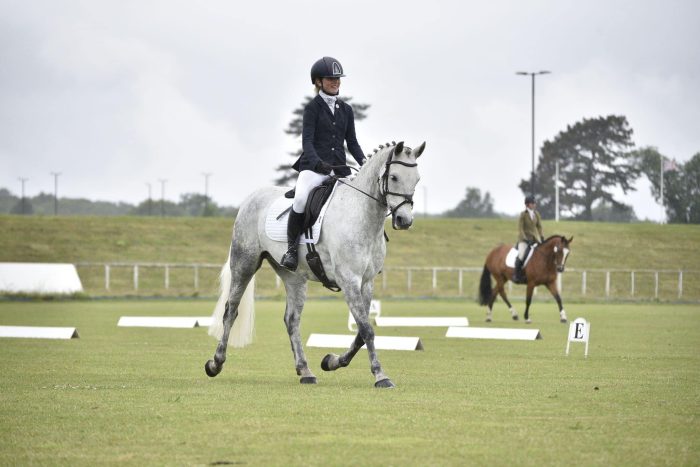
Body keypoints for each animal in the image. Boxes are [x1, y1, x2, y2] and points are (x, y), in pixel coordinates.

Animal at [205, 141, 424, 390]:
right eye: (394, 177)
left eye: (417, 179)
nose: (404, 220)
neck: (361, 216)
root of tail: (251, 198)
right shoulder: (349, 280)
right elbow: (366, 329)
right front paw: (380, 375)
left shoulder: (366, 282)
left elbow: (361, 331)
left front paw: (332, 361)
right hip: (244, 263)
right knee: (231, 310)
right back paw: (215, 363)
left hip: (293, 277)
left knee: (291, 320)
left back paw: (305, 370)